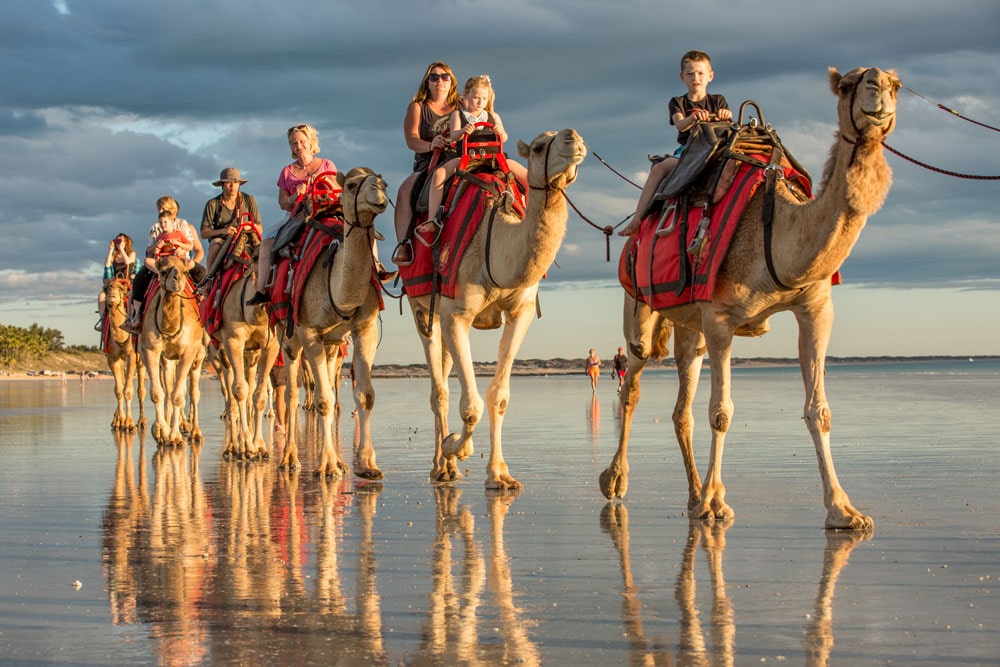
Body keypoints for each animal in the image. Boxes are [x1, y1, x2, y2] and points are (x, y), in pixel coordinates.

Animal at [102, 280, 146, 430]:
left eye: (121, 288)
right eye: (107, 288)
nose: (112, 297)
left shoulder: (132, 356)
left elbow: (128, 391)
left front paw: (128, 423)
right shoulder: (112, 358)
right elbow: (118, 390)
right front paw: (119, 421)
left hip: (140, 359)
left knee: (141, 390)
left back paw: (142, 421)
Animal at [139, 256, 207, 448]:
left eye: (184, 271)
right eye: (162, 271)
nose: (176, 279)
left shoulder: (188, 353)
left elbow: (178, 396)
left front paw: (175, 437)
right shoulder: (151, 350)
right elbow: (159, 393)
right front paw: (161, 433)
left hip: (198, 358)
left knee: (193, 393)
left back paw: (195, 433)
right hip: (168, 360)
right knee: (169, 390)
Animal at [284, 167, 388, 480]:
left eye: (384, 182)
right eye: (352, 185)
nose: (379, 192)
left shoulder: (364, 328)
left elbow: (364, 395)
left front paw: (367, 464)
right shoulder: (309, 332)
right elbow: (323, 401)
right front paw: (327, 466)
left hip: (332, 344)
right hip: (289, 338)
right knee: (291, 393)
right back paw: (290, 459)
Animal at [406, 129, 584, 490]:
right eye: (540, 146)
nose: (573, 139)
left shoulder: (521, 312)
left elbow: (498, 396)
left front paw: (499, 474)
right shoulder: (457, 314)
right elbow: (471, 404)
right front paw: (456, 447)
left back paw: (447, 465)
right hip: (421, 307)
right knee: (439, 389)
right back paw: (441, 466)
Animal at [596, 66, 904, 528]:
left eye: (896, 84)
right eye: (850, 84)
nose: (878, 90)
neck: (775, 232)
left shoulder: (815, 309)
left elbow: (819, 410)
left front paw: (843, 510)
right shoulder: (721, 318)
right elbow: (721, 412)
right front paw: (715, 503)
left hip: (690, 327)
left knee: (682, 406)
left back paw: (692, 495)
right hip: (639, 306)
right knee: (632, 382)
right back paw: (616, 481)